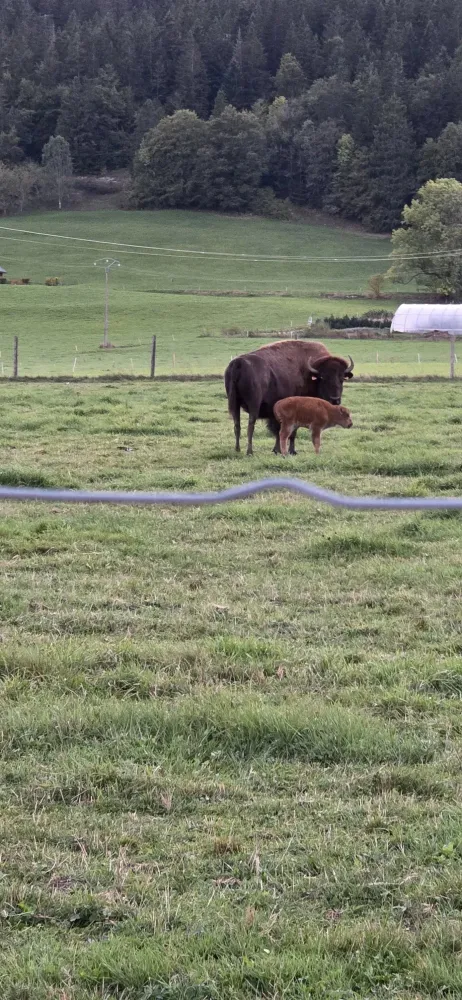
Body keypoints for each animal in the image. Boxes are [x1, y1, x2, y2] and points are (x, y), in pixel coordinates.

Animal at [224, 339, 354, 455]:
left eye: (342, 378)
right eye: (322, 378)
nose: (335, 399)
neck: (308, 373)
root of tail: (238, 363)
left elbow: (278, 431)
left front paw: (277, 450)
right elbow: (291, 432)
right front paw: (291, 451)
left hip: (235, 404)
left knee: (237, 425)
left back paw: (237, 449)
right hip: (253, 406)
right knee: (250, 426)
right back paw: (249, 452)